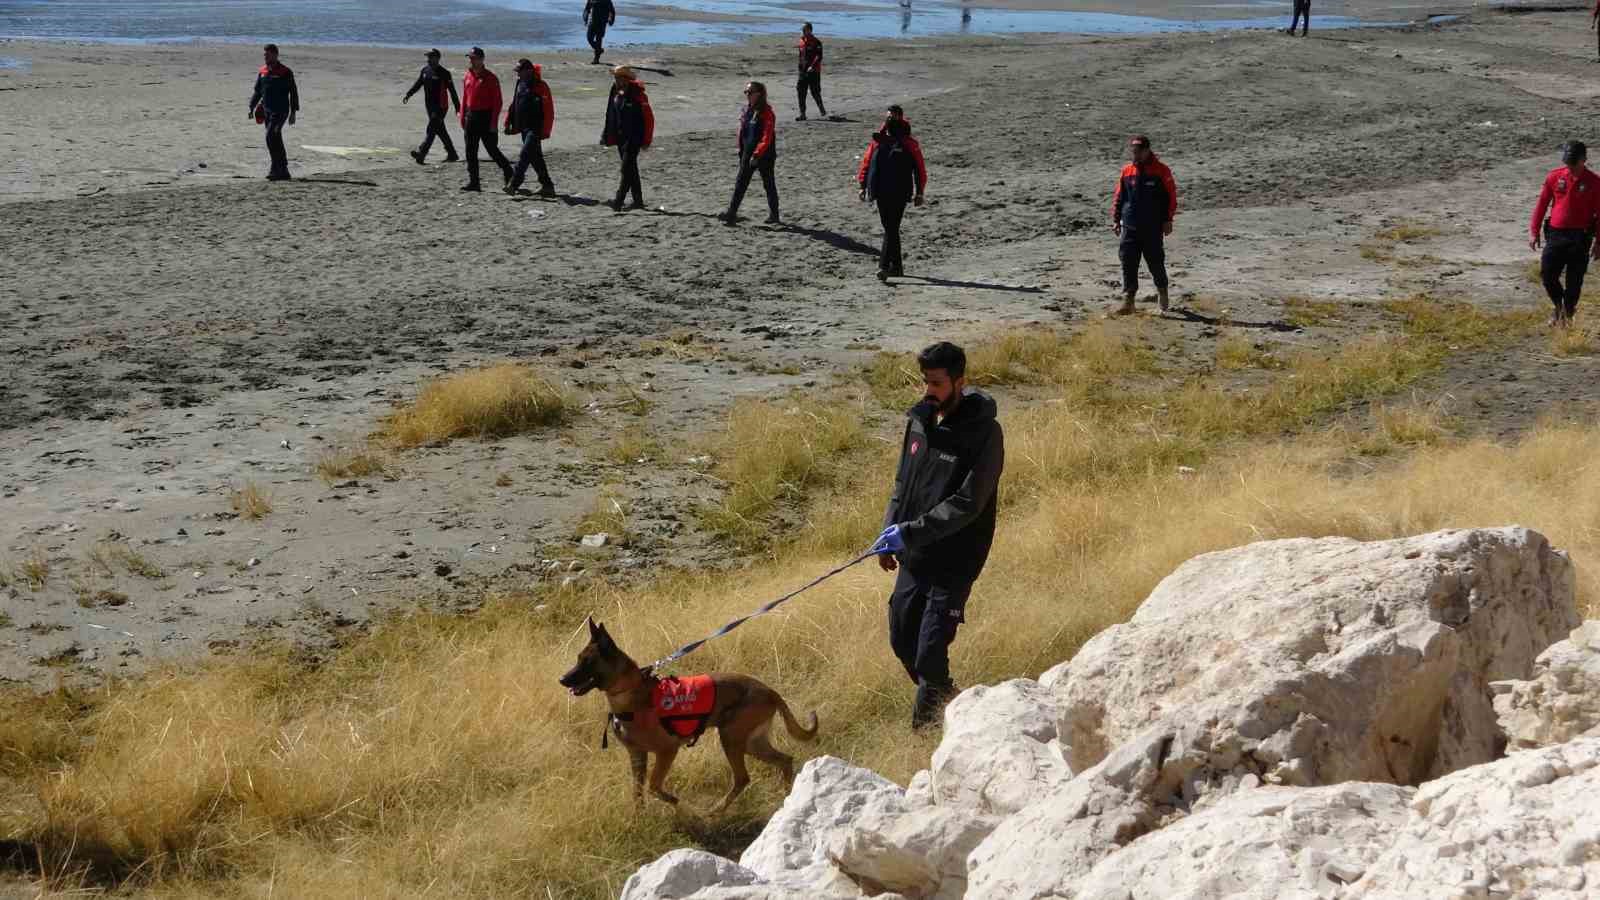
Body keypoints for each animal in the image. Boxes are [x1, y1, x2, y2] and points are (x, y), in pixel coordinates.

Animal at [563, 611, 819, 810]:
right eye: (578, 659)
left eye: (587, 661)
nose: (562, 680)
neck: (631, 694)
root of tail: (770, 691)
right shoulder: (637, 755)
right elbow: (638, 793)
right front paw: (639, 818)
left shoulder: (667, 751)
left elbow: (654, 786)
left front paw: (674, 802)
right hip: (751, 743)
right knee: (784, 760)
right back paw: (785, 795)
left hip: (731, 739)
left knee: (743, 778)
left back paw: (717, 810)